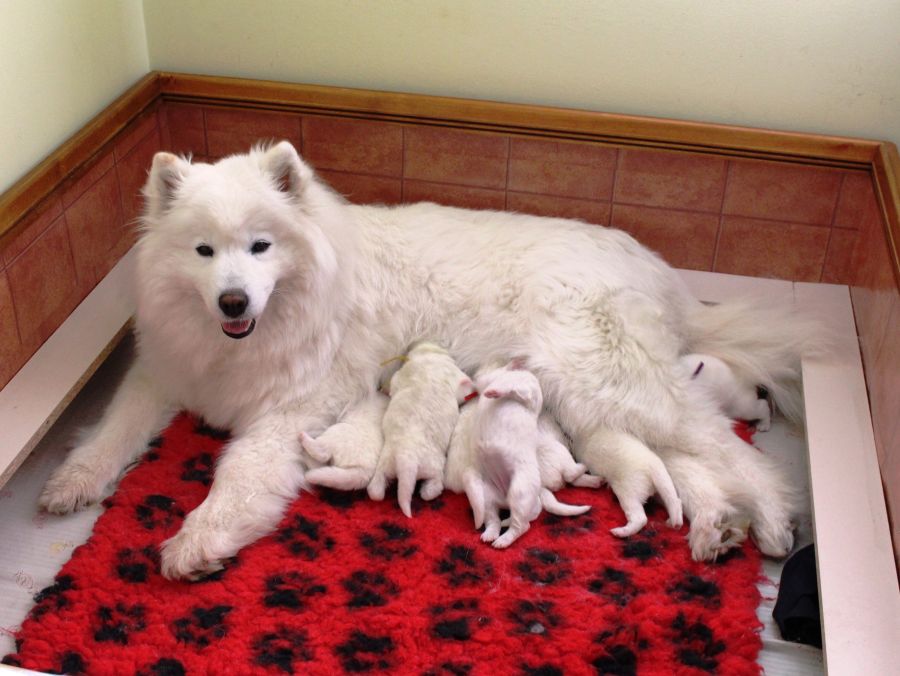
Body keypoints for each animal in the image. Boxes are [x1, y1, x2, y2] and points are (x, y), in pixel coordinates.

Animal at [368, 344, 474, 516]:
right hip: (432, 467)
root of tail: (406, 460)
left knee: (376, 490)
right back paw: (428, 491)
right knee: (435, 484)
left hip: (386, 465)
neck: (429, 358)